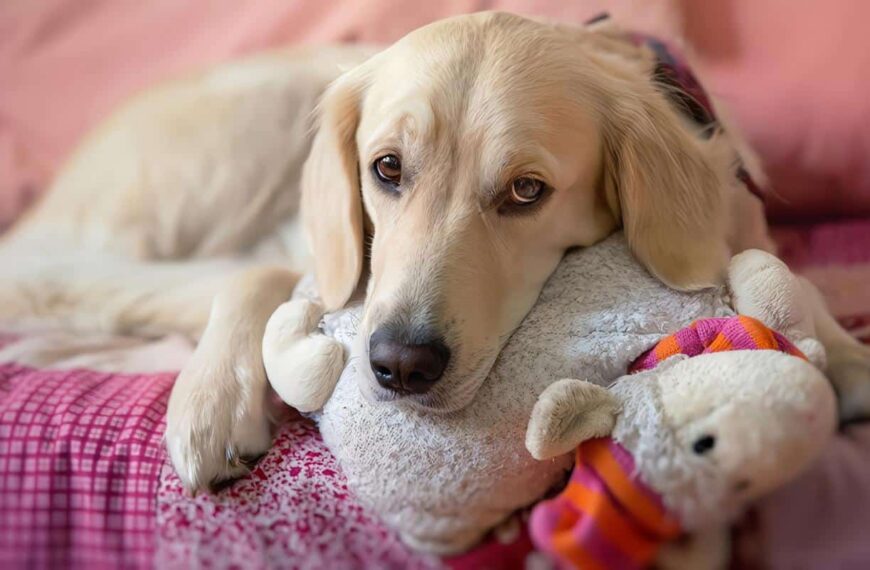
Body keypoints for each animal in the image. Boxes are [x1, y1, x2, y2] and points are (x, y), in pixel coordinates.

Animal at [1, 13, 870, 492]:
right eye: (386, 169)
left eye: (526, 191)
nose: (399, 366)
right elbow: (262, 274)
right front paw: (213, 403)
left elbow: (792, 278)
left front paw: (842, 352)